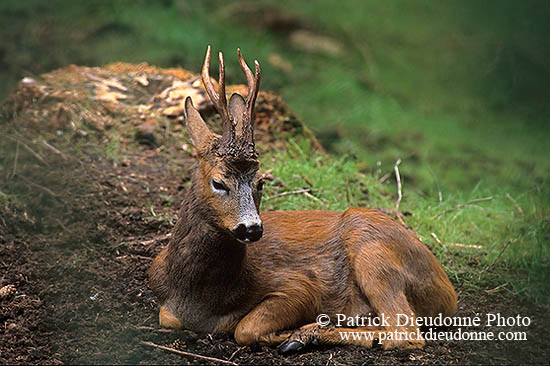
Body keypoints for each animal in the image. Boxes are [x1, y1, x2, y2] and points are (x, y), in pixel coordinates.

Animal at [149, 45, 460, 352]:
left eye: (260, 182)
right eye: (218, 183)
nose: (252, 229)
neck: (198, 298)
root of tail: (449, 293)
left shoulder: (299, 286)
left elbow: (245, 329)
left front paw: (290, 334)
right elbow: (169, 319)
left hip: (372, 250)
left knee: (405, 333)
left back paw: (308, 335)